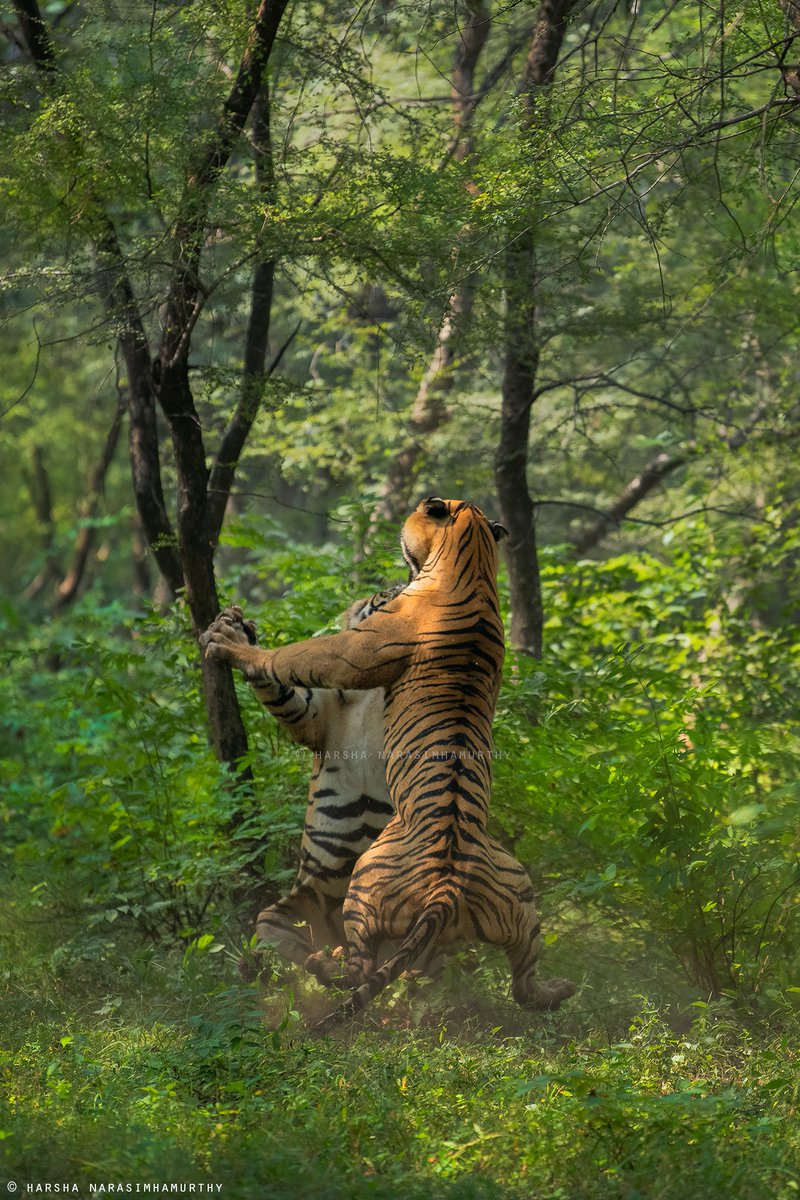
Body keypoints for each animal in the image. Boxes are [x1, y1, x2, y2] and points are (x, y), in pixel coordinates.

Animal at [207, 588, 400, 984]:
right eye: (384, 595)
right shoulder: (312, 718)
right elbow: (279, 689)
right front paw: (238, 630)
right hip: (286, 910)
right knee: (304, 954)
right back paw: (326, 964)